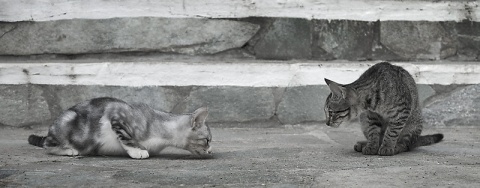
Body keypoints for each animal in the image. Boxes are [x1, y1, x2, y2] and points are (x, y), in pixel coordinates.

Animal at [27, 97, 212, 159]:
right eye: (207, 140)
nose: (210, 151)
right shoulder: (116, 115)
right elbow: (126, 138)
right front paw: (137, 151)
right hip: (67, 124)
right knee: (48, 145)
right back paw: (68, 150)